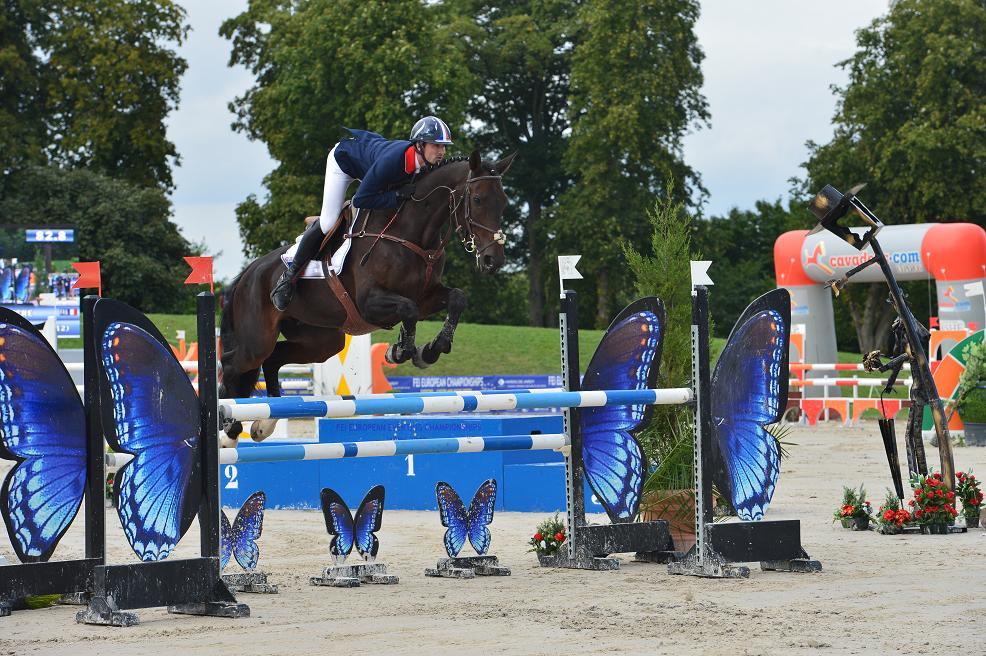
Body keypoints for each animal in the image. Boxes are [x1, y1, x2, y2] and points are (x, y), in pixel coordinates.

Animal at [216, 151, 516, 444]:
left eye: (503, 203)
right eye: (477, 199)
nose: (493, 260)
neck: (411, 234)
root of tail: (249, 273)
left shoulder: (426, 298)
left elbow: (456, 298)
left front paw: (431, 349)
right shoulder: (370, 304)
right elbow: (408, 310)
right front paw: (400, 351)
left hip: (322, 341)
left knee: (272, 360)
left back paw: (263, 425)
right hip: (257, 340)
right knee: (233, 365)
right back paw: (228, 430)